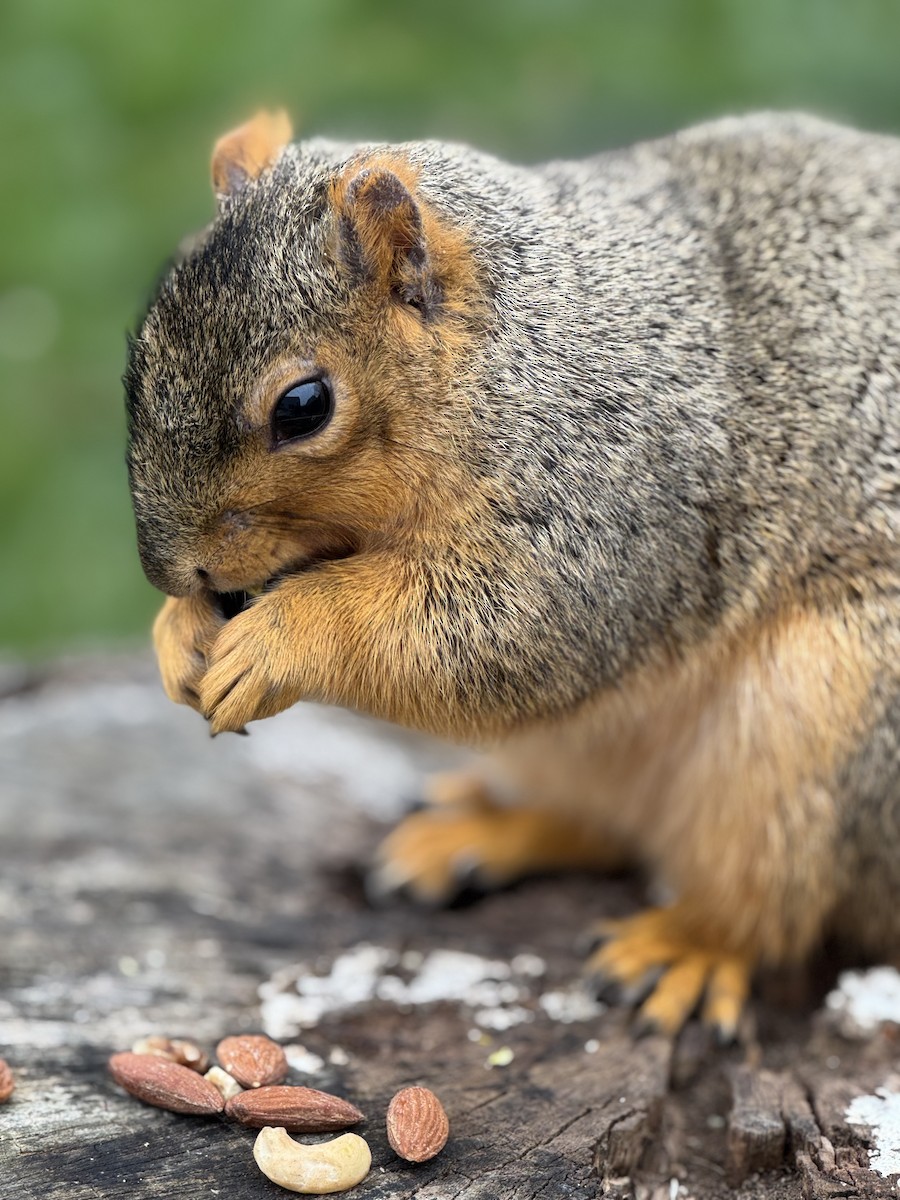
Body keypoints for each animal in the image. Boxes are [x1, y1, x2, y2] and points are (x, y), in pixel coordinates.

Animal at [125, 109, 899, 1039]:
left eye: (303, 407)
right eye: (138, 357)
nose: (172, 568)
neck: (511, 357)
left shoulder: (610, 502)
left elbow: (502, 634)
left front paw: (277, 638)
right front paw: (177, 635)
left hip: (823, 714)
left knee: (760, 892)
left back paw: (685, 945)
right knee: (605, 824)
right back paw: (481, 832)